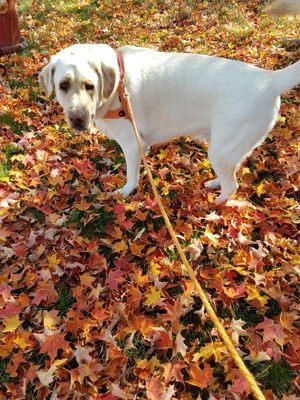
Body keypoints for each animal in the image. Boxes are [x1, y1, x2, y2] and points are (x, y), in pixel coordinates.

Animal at [39, 45, 300, 205]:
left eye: (89, 86)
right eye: (63, 85)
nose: (77, 118)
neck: (116, 88)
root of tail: (270, 79)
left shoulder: (133, 146)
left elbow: (131, 176)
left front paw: (126, 191)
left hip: (222, 149)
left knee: (232, 185)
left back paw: (216, 203)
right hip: (226, 148)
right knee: (230, 174)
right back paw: (214, 183)